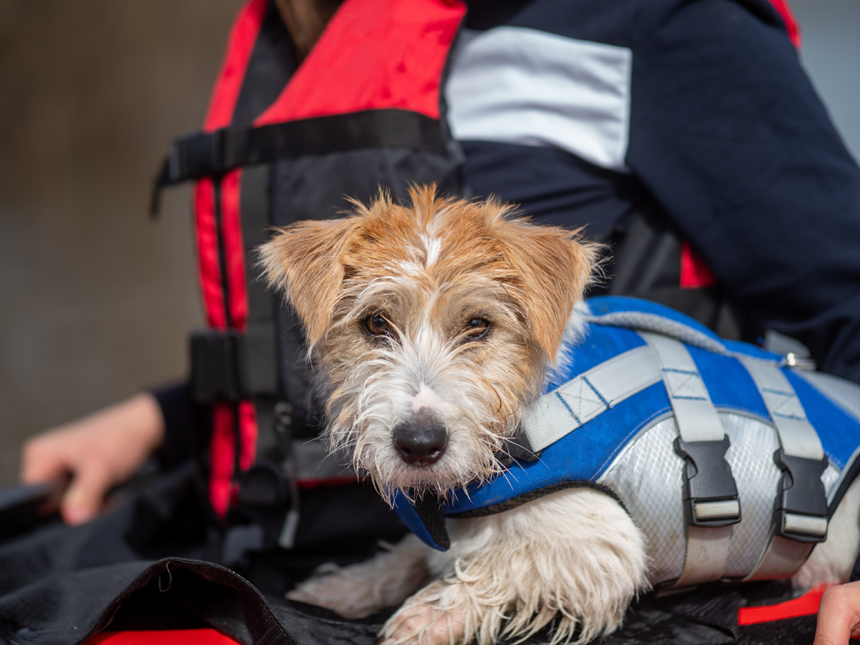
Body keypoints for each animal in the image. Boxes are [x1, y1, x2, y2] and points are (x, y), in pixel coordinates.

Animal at [260, 186, 860, 644]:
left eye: (478, 325)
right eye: (375, 323)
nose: (419, 444)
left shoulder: (601, 547)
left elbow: (495, 564)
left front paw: (426, 617)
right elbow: (406, 555)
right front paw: (344, 588)